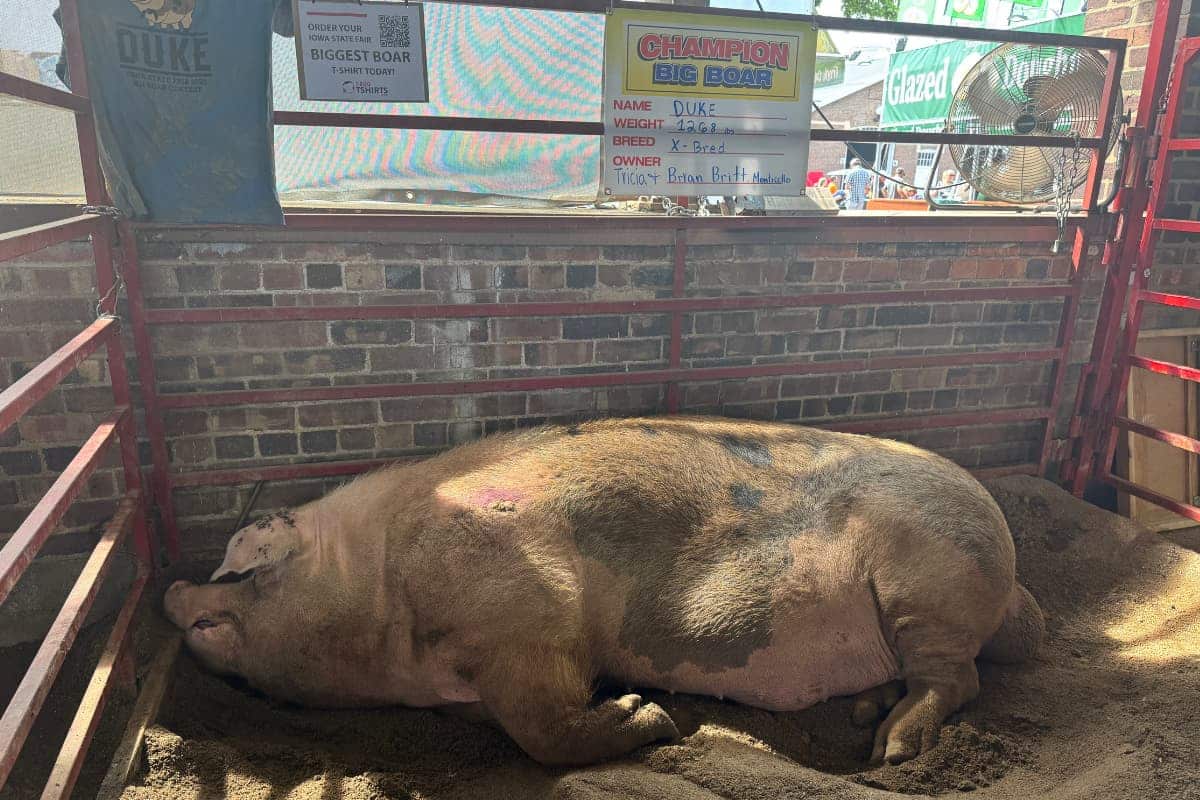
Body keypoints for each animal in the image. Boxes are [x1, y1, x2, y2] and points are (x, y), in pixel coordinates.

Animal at [164, 415, 1044, 766]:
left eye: (249, 568)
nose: (172, 590)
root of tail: (1014, 584)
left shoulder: (530, 611)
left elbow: (544, 728)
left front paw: (652, 717)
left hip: (927, 578)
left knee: (956, 678)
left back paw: (891, 748)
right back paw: (866, 717)